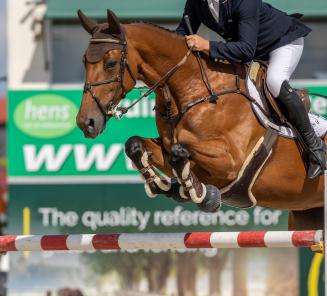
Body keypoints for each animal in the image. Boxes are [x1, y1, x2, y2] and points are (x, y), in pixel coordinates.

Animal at [76, 9, 326, 231]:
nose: (85, 122)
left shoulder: (230, 161)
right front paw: (164, 185)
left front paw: (202, 194)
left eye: (110, 63)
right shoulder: (170, 148)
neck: (194, 90)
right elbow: (136, 144)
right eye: (84, 61)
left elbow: (180, 150)